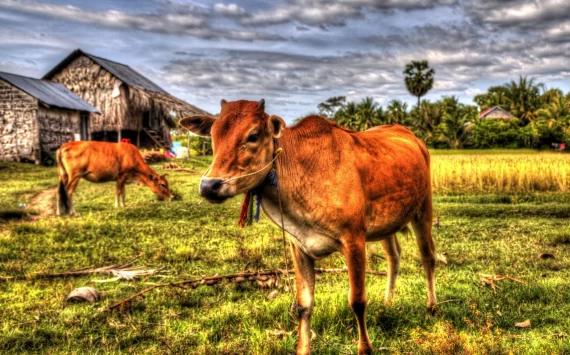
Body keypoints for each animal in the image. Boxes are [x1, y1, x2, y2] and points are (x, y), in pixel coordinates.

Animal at [180, 98, 432, 354]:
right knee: (394, 256)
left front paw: (365, 348)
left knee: (427, 256)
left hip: (423, 209)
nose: (210, 185)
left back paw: (432, 306)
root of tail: (410, 134)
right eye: (213, 135)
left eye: (253, 135)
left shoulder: (354, 240)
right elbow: (304, 305)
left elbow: (357, 300)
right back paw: (387, 301)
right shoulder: (299, 248)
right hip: (386, 224)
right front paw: (303, 348)